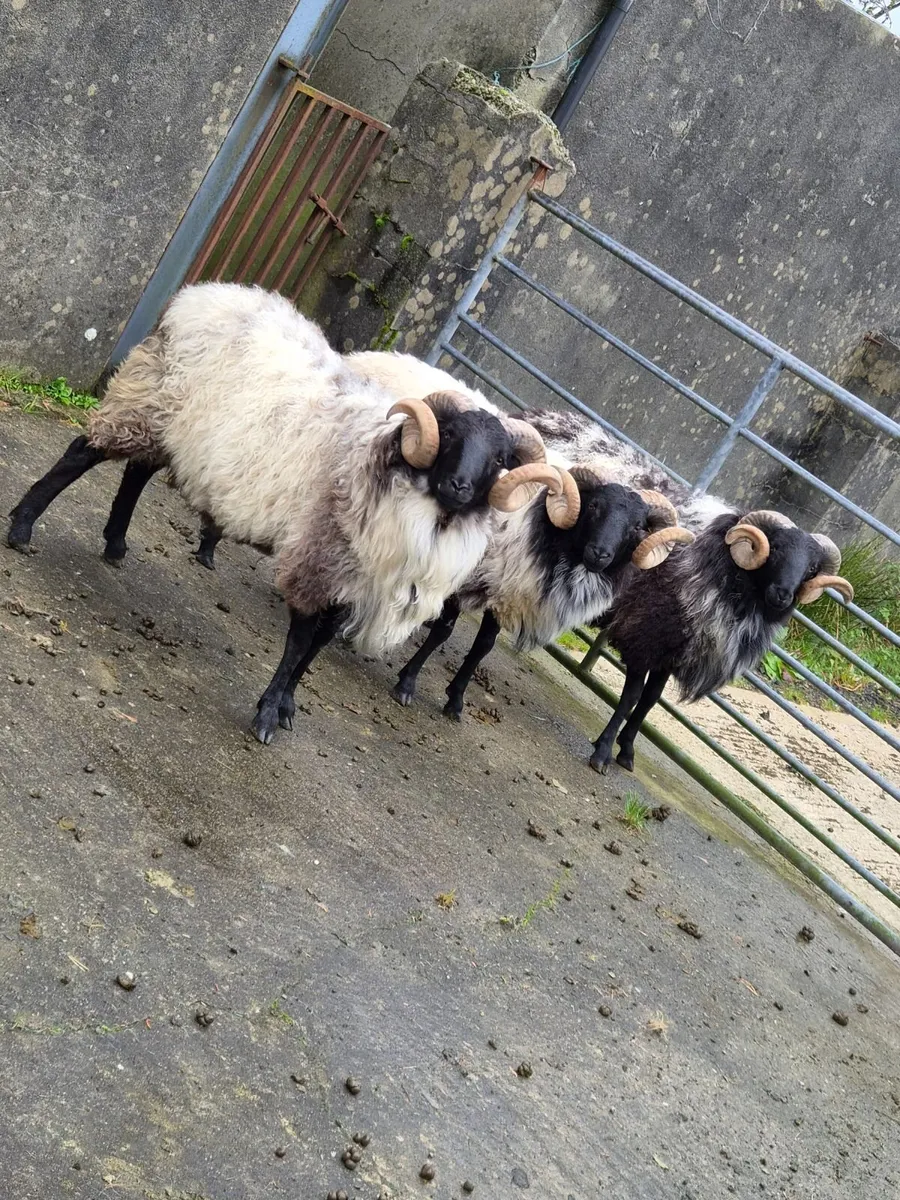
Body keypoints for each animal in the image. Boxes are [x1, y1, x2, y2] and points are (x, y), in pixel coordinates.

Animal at [6, 282, 558, 744]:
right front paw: (269, 714)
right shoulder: (316, 556)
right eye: (450, 437)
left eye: (501, 460)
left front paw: (289, 702)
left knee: (136, 473)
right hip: (142, 399)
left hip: (172, 425)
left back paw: (116, 542)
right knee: (81, 453)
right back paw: (22, 527)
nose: (460, 485)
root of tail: (200, 293)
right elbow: (298, 642)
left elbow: (315, 649)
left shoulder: (351, 578)